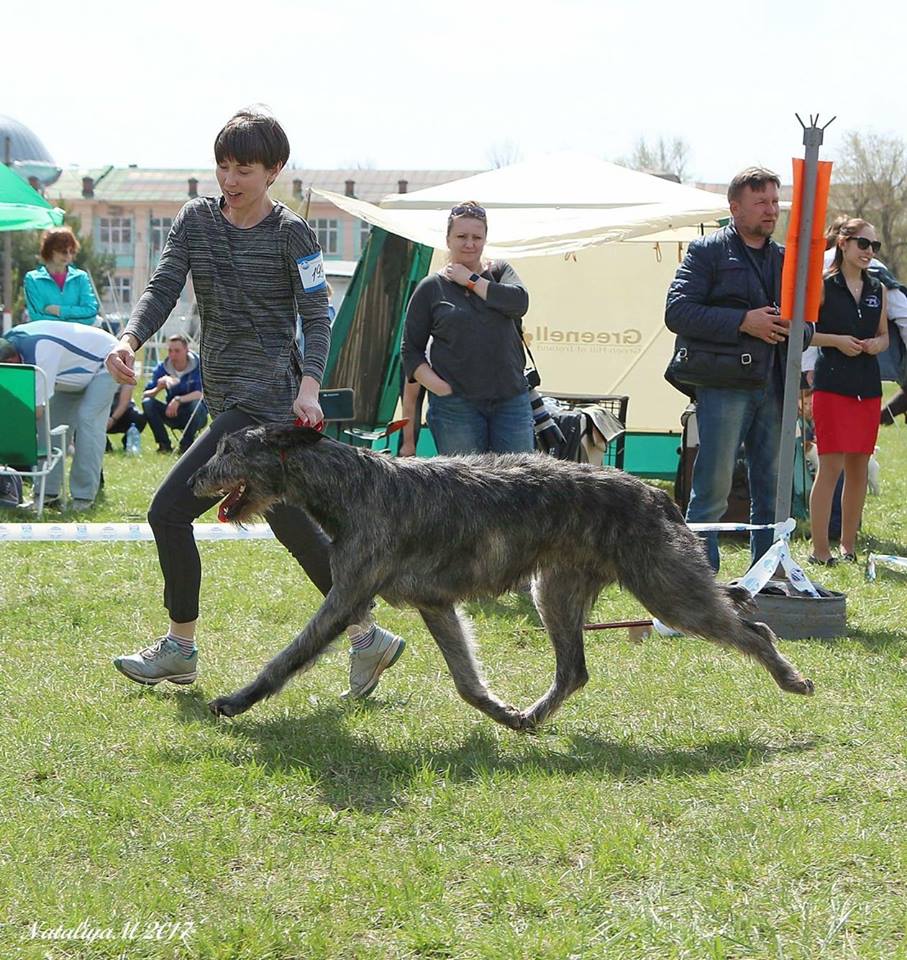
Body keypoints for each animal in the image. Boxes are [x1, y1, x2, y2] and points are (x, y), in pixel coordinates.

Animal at [192, 424, 816, 732]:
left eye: (226, 449)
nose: (195, 477)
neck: (351, 483)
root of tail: (659, 496)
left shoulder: (347, 598)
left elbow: (286, 659)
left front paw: (236, 702)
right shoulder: (436, 605)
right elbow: (467, 682)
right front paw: (498, 711)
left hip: (667, 589)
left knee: (752, 629)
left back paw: (790, 678)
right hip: (555, 592)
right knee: (574, 670)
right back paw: (532, 717)